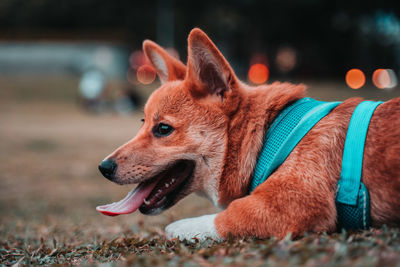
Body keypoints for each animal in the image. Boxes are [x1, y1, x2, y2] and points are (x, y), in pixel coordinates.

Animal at [97, 28, 400, 242]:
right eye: (142, 122)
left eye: (163, 129)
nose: (104, 167)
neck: (268, 136)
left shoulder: (294, 201)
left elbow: (227, 216)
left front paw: (181, 228)